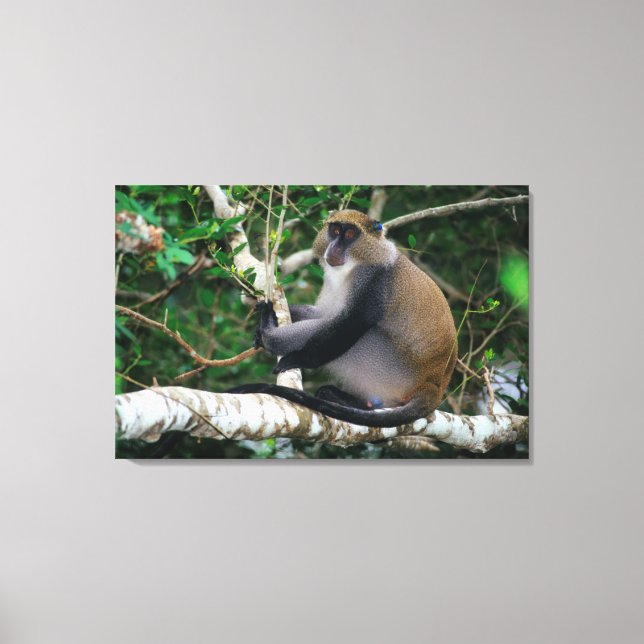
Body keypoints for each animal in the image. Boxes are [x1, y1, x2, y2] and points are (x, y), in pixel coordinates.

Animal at [229, 209, 457, 427]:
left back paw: (269, 334)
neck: (354, 265)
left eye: (349, 234)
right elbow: (327, 314)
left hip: (392, 369)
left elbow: (351, 323)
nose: (335, 247)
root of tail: (434, 385)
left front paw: (297, 358)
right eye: (336, 231)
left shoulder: (374, 283)